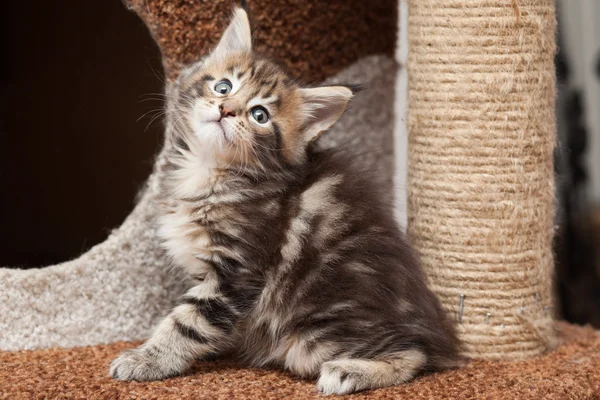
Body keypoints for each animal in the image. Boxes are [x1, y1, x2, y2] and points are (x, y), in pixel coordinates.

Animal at [110, 4, 458, 396]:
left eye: (259, 115)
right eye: (223, 86)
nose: (226, 109)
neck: (209, 171)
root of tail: (433, 326)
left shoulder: (238, 270)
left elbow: (189, 321)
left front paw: (148, 358)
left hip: (313, 336)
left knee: (414, 353)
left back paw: (352, 371)